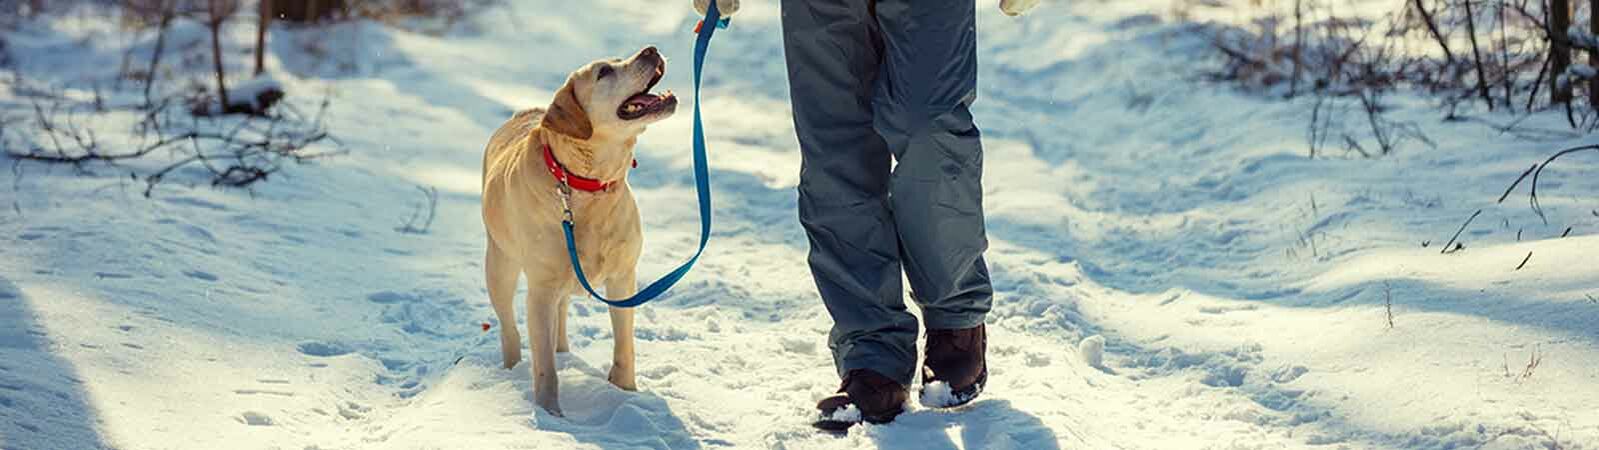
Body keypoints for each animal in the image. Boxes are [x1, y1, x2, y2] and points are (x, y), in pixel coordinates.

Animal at [473, 46, 674, 416]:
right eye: (604, 72)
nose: (651, 49)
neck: (585, 185)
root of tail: (526, 111)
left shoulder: (623, 278)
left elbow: (624, 346)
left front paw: (626, 394)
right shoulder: (540, 290)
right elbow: (544, 368)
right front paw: (550, 415)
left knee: (561, 315)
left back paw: (563, 352)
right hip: (500, 265)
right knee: (510, 329)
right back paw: (512, 369)